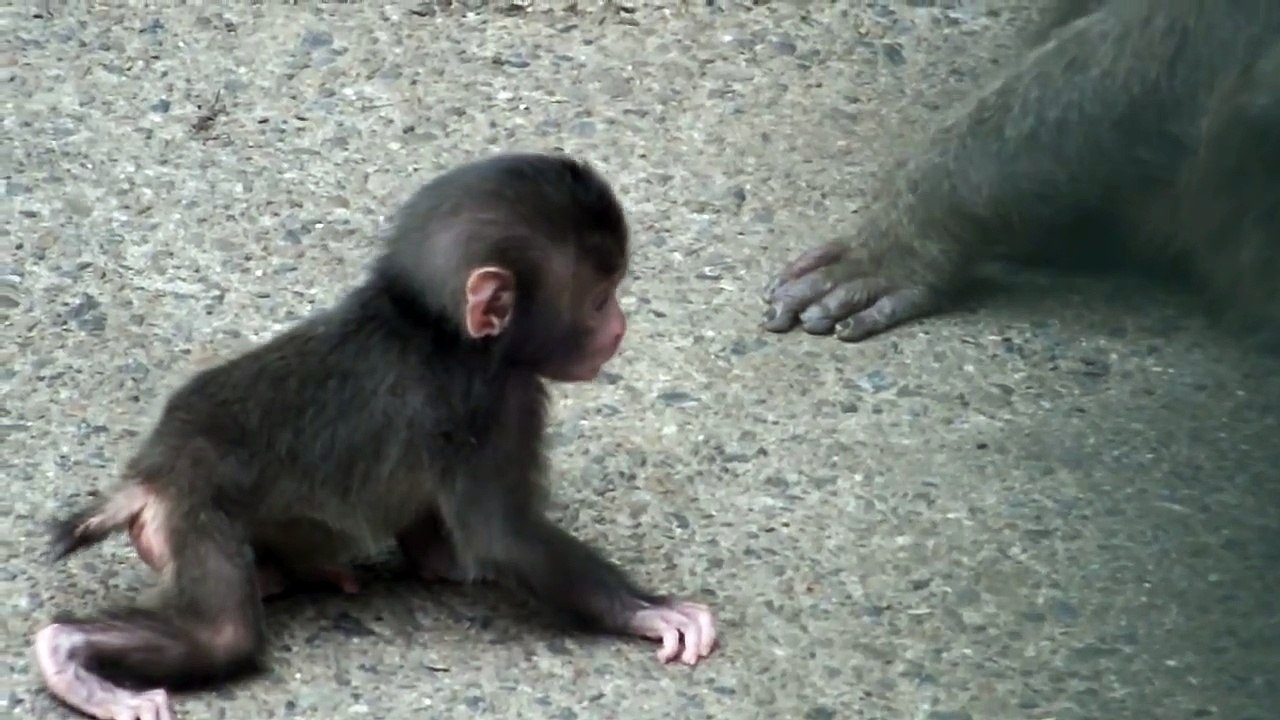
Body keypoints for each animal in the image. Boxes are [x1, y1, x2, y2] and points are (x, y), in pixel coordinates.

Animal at [35, 152, 718, 720]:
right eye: (600, 299)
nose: (619, 328)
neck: (435, 325)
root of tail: (150, 476)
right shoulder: (495, 400)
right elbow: (504, 537)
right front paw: (647, 611)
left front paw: (442, 563)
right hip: (195, 513)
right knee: (222, 635)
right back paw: (67, 656)